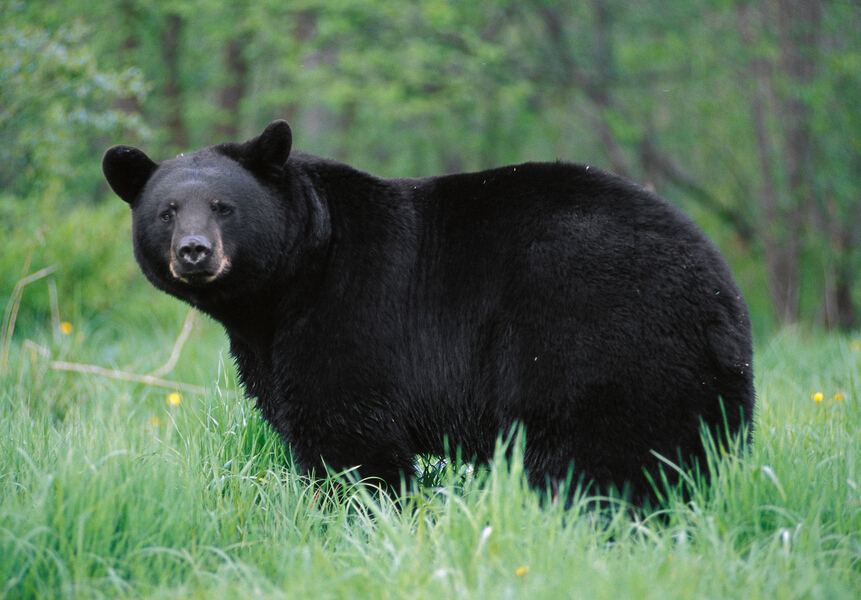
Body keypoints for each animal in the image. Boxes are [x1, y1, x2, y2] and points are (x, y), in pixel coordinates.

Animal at [104, 119, 752, 500]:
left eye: (223, 205)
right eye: (166, 211)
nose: (194, 251)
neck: (287, 287)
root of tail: (720, 292)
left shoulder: (351, 316)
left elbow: (348, 436)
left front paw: (353, 510)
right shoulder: (267, 345)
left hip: (595, 336)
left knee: (603, 453)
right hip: (696, 377)